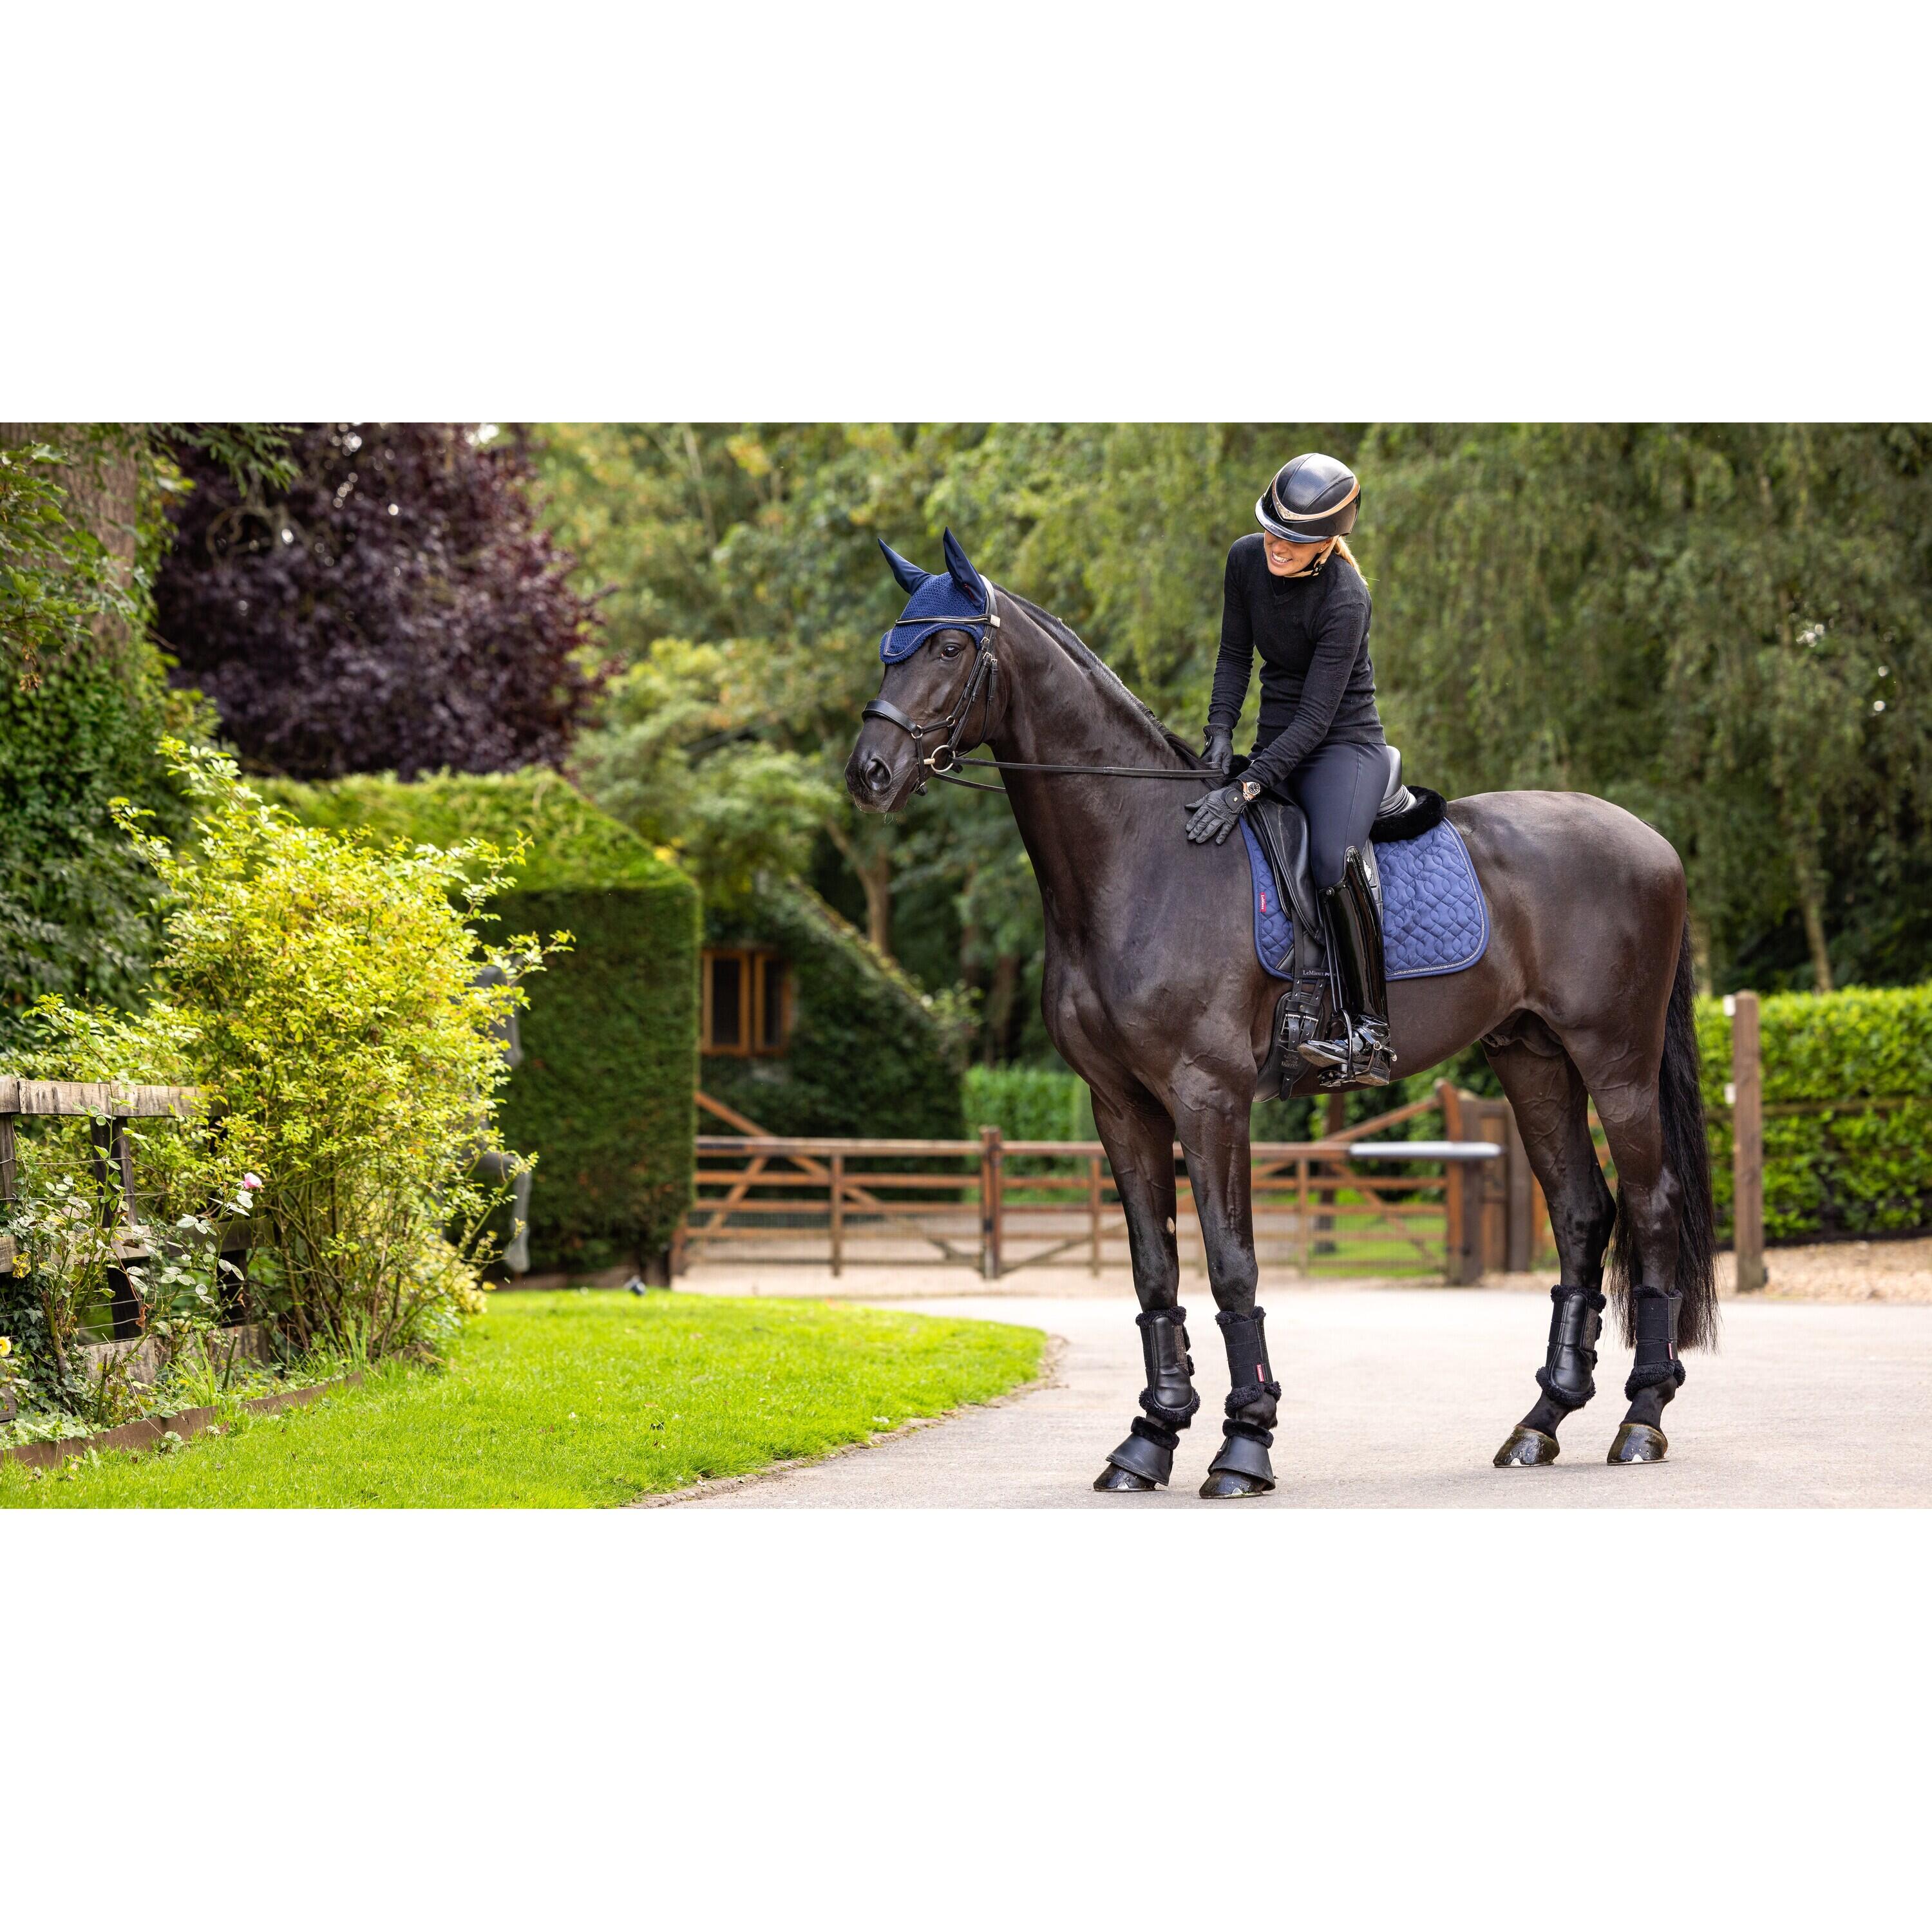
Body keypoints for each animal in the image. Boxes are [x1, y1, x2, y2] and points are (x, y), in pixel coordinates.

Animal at [846, 532, 1716, 1499]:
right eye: (891, 644)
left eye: (947, 647)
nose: (869, 774)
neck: (1140, 861)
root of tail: (1650, 840)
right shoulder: (1122, 1107)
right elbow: (1155, 1272)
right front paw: (1150, 1440)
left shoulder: (1209, 1098)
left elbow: (1232, 1267)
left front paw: (1244, 1443)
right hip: (1531, 1056)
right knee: (1582, 1216)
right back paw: (1541, 1422)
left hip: (1616, 1059)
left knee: (1651, 1208)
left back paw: (1642, 1418)